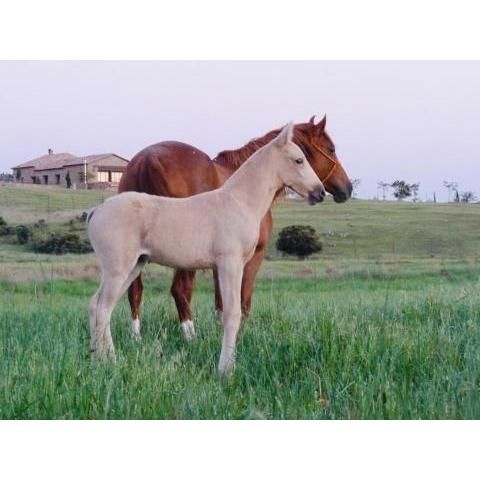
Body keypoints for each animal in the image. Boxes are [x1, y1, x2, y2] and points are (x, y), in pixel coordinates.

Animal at [87, 122, 324, 374]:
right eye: (299, 160)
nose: (320, 192)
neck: (239, 202)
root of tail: (97, 210)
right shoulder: (230, 263)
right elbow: (232, 313)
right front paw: (226, 370)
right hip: (118, 269)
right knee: (103, 308)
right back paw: (109, 362)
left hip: (134, 267)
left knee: (97, 305)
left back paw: (98, 358)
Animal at [119, 115, 352, 340]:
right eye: (331, 149)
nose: (347, 188)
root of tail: (148, 160)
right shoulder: (252, 257)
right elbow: (243, 300)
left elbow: (222, 302)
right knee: (180, 290)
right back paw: (191, 338)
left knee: (135, 291)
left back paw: (136, 338)